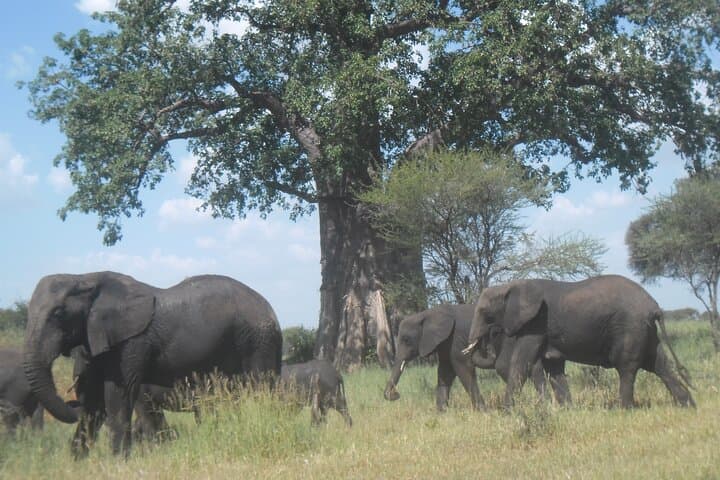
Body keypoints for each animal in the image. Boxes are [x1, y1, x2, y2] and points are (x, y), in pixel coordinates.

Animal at [24, 271, 283, 457]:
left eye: (58, 313)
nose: (70, 399)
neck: (85, 278)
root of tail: (272, 311)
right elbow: (95, 404)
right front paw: (77, 462)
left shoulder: (132, 343)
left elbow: (117, 397)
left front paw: (119, 461)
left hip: (258, 341)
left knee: (260, 390)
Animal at [383, 304, 567, 412]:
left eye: (406, 340)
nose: (395, 394)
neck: (428, 314)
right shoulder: (444, 342)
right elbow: (445, 372)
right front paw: (442, 413)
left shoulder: (455, 338)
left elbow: (463, 368)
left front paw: (483, 412)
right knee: (533, 368)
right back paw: (542, 404)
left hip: (511, 339)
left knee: (505, 366)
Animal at [464, 275, 695, 409]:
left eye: (485, 313)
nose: (487, 339)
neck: (511, 285)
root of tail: (655, 306)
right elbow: (553, 366)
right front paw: (567, 411)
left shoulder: (536, 321)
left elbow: (522, 360)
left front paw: (507, 412)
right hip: (644, 330)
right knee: (659, 364)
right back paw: (688, 405)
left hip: (630, 327)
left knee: (627, 367)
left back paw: (623, 409)